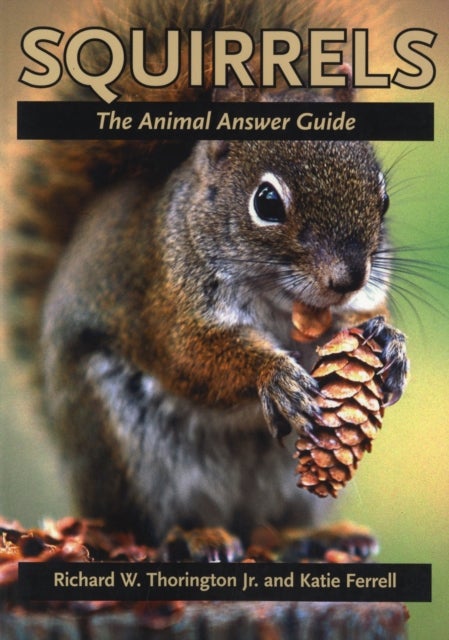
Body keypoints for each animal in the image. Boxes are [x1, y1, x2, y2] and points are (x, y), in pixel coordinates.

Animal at [9, 0, 408, 554]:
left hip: (286, 487)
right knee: (150, 524)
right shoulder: (168, 299)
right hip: (127, 450)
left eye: (383, 198)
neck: (281, 303)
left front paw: (389, 340)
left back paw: (321, 534)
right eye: (267, 202)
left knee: (275, 525)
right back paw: (196, 535)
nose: (349, 277)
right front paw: (275, 376)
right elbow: (193, 355)